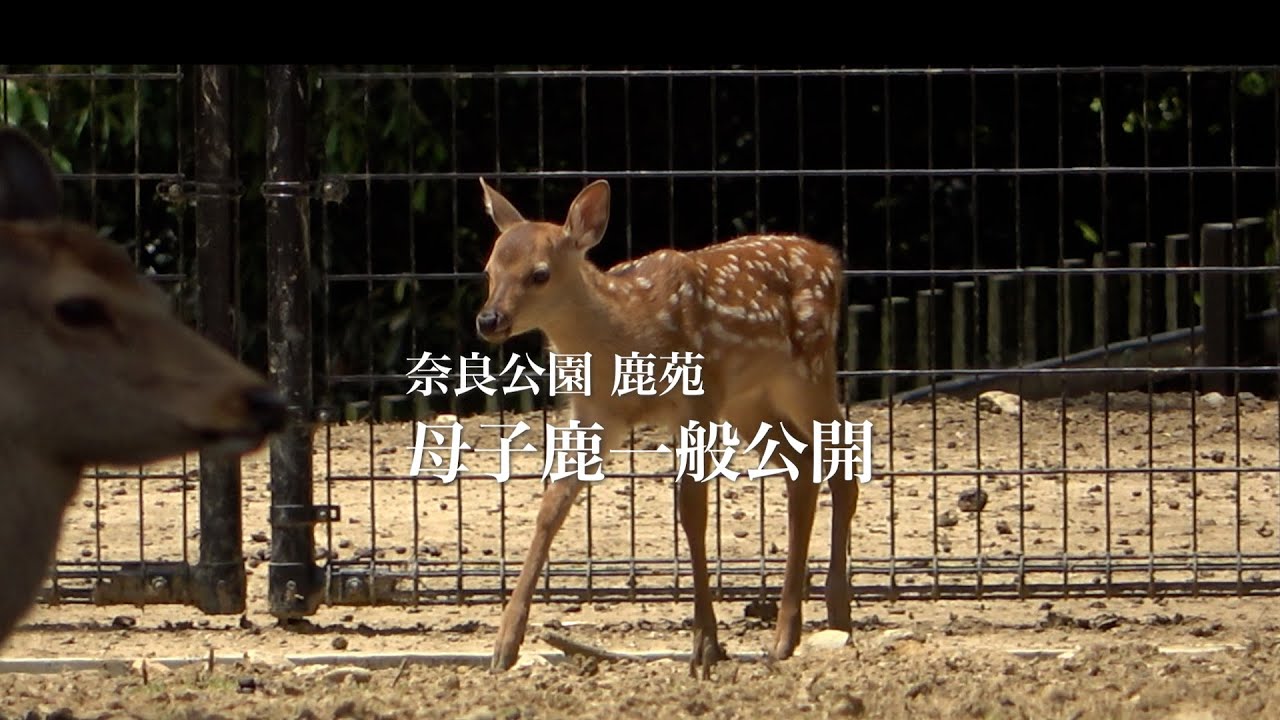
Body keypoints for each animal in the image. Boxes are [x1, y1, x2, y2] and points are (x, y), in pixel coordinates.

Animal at [475, 177, 858, 678]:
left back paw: (837, 613)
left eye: (539, 274)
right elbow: (553, 504)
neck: (626, 334)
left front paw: (705, 645)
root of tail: (829, 257)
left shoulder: (695, 399)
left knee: (845, 457)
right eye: (489, 270)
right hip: (749, 400)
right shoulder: (596, 412)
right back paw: (786, 634)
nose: (489, 319)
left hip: (808, 370)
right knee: (804, 466)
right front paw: (505, 643)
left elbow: (692, 509)